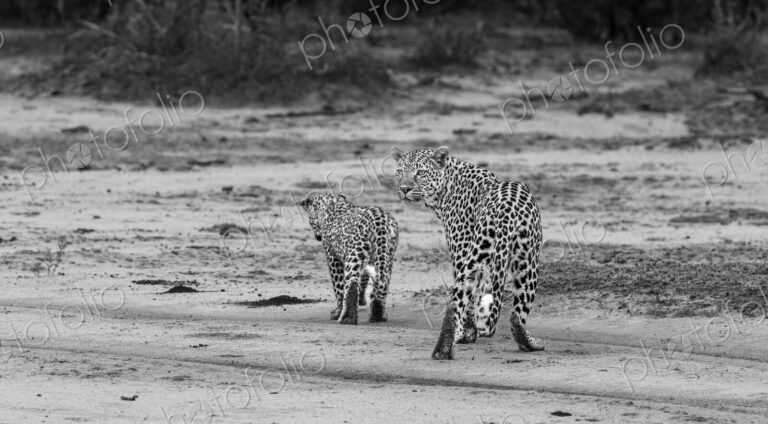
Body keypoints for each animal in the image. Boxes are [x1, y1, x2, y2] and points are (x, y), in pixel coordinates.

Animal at [298, 193, 398, 324]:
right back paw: (378, 315)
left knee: (351, 282)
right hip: (385, 255)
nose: (317, 236)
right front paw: (361, 300)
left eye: (311, 221)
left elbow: (339, 286)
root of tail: (379, 221)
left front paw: (337, 311)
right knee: (382, 282)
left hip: (354, 255)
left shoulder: (332, 256)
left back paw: (347, 318)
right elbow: (364, 280)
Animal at [392, 146, 544, 360]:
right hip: (523, 260)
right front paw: (469, 333)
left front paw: (467, 333)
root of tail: (506, 213)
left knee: (461, 300)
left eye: (420, 172)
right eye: (400, 171)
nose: (405, 189)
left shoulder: (461, 251)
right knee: (513, 313)